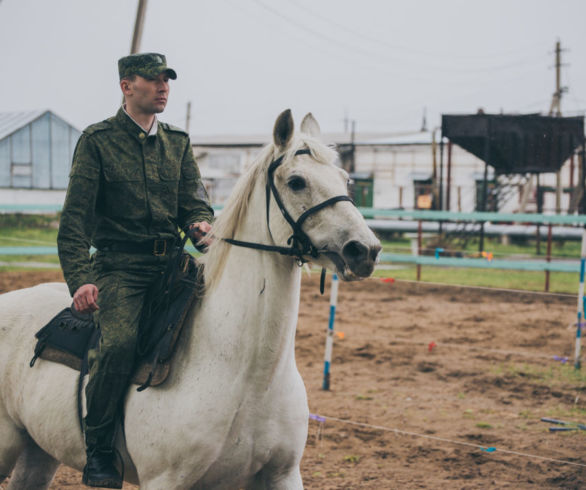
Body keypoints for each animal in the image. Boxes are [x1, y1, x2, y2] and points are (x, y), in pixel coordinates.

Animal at [0, 111, 378, 490]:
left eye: (345, 179)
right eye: (297, 181)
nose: (365, 250)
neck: (249, 375)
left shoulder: (283, 475)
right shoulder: (164, 480)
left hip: (39, 452)